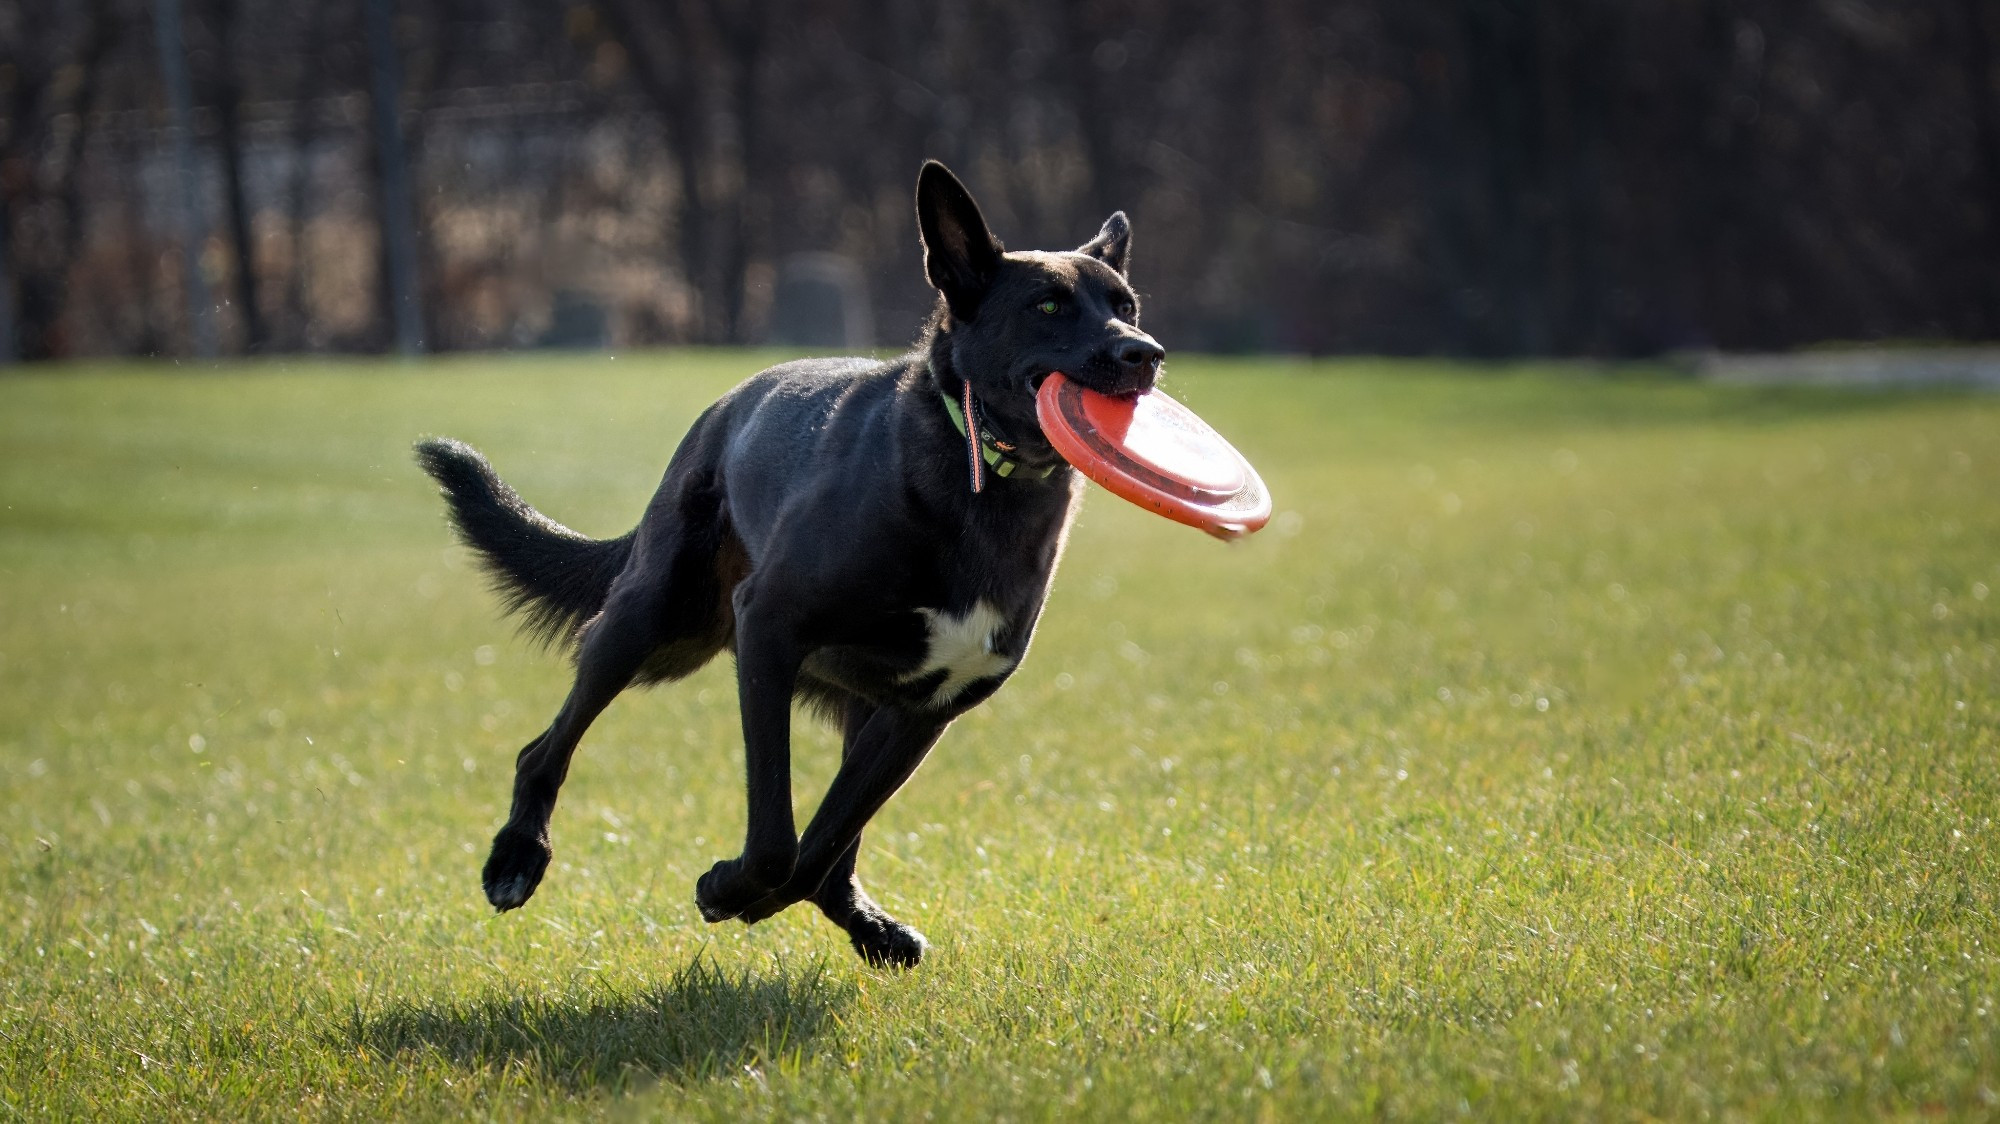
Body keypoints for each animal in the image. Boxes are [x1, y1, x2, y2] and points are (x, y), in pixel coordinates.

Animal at [416, 160, 1168, 964]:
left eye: (1126, 305)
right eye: (1049, 305)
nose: (1146, 353)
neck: (983, 480)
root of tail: (724, 407)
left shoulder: (924, 711)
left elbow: (824, 842)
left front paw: (744, 893)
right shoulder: (768, 631)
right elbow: (779, 835)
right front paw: (730, 887)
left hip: (841, 699)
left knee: (836, 854)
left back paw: (868, 926)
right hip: (653, 626)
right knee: (543, 748)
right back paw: (517, 857)